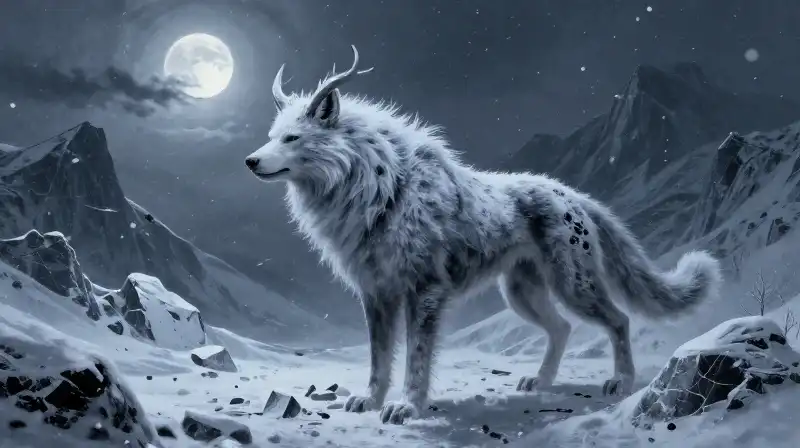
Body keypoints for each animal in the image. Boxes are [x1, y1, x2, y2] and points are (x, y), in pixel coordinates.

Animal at [244, 46, 722, 425]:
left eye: (292, 138)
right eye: (271, 136)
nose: (250, 161)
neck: (379, 191)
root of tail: (574, 196)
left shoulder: (425, 292)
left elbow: (416, 358)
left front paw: (407, 407)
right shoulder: (376, 294)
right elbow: (379, 359)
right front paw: (370, 400)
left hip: (572, 285)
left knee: (618, 320)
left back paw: (620, 381)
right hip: (521, 293)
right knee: (563, 328)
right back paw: (539, 381)